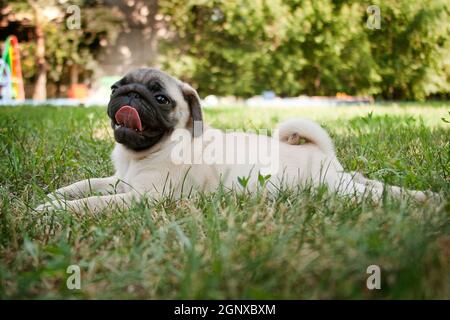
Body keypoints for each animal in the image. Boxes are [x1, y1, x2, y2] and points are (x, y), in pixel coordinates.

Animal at [37, 68, 438, 214]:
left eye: (160, 98)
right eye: (116, 87)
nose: (130, 95)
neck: (141, 154)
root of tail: (318, 148)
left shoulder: (142, 196)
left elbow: (94, 203)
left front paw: (54, 211)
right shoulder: (121, 180)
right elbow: (88, 184)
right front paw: (56, 195)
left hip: (335, 189)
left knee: (377, 194)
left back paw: (423, 200)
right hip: (343, 181)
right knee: (369, 183)